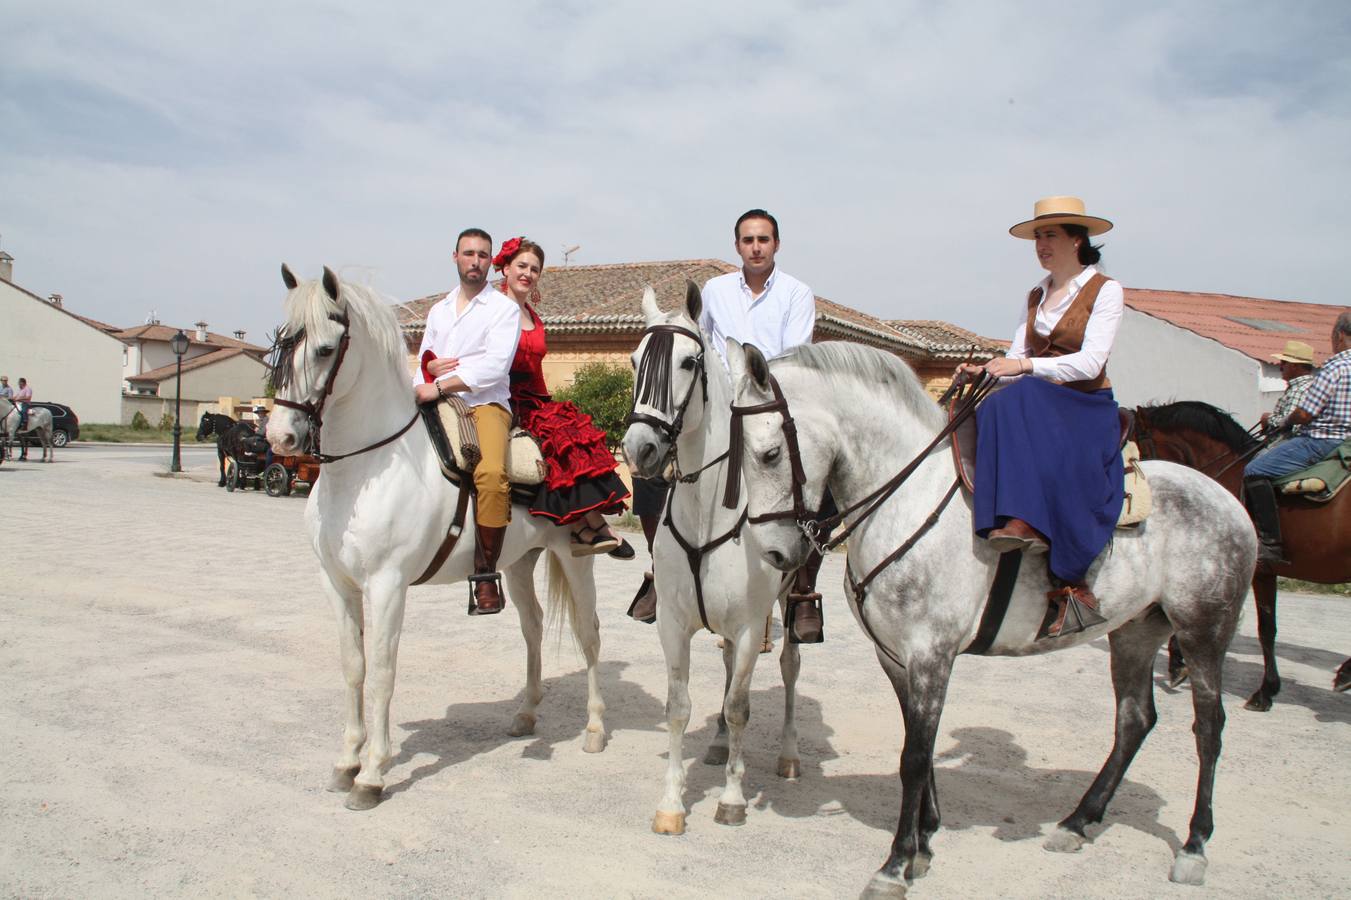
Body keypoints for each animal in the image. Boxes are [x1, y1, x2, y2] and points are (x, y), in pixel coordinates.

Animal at [268, 264, 607, 805]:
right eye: (280, 343)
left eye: (323, 349)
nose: (281, 437)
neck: (366, 468)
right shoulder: (337, 583)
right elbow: (354, 666)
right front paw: (346, 760)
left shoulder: (387, 585)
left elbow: (383, 673)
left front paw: (372, 773)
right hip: (518, 563)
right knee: (532, 627)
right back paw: (526, 713)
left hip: (576, 559)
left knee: (588, 633)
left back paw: (595, 729)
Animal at [621, 283, 799, 832]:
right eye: (634, 359)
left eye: (687, 361)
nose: (640, 449)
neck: (706, 515)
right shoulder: (673, 625)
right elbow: (678, 707)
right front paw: (671, 805)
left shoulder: (749, 627)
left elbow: (741, 706)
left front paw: (732, 799)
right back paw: (720, 745)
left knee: (789, 665)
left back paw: (789, 755)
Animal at [729, 340, 1253, 891]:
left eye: (769, 454)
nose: (775, 554)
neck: (906, 497)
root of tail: (1226, 499)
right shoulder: (895, 657)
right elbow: (919, 741)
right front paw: (925, 842)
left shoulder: (931, 654)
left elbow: (915, 756)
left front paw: (896, 865)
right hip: (1135, 632)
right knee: (1135, 719)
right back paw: (1078, 822)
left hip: (1203, 631)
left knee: (1209, 727)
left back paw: (1193, 847)